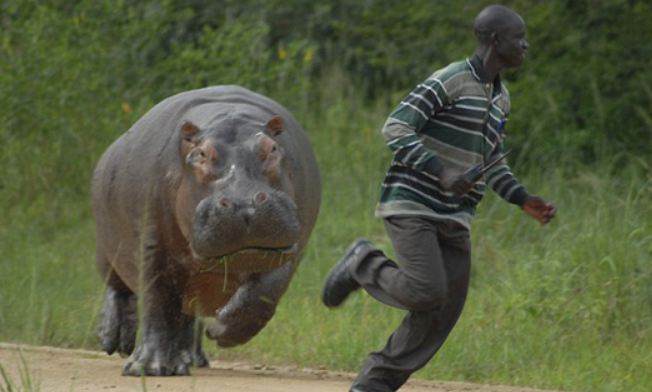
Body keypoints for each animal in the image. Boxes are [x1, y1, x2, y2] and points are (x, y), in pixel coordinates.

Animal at [91, 86, 320, 376]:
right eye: (201, 154)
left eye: (272, 148)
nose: (244, 203)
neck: (229, 116)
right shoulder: (151, 244)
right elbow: (155, 301)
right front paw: (149, 368)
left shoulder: (290, 249)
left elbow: (263, 295)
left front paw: (221, 328)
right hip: (106, 247)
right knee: (117, 288)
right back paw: (115, 341)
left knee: (184, 315)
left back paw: (188, 359)